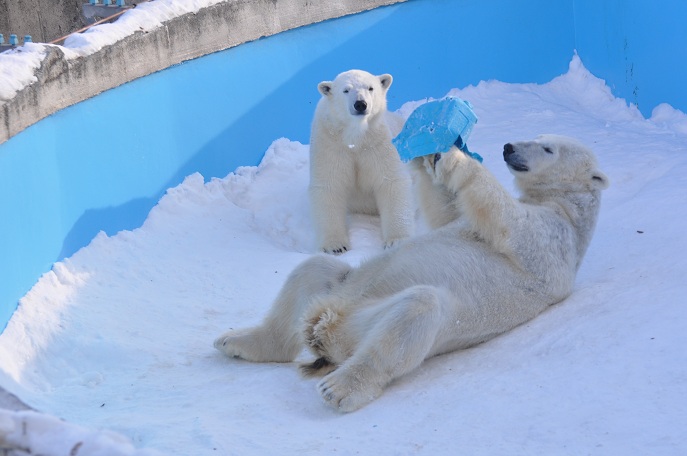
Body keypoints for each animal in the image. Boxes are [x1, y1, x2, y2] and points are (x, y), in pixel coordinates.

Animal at [218, 134, 612, 412]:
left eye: (547, 147)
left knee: (418, 308)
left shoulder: (553, 240)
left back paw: (340, 387)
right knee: (314, 270)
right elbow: (447, 213)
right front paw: (431, 158)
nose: (509, 147)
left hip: (361, 325)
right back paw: (237, 341)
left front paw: (455, 158)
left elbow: (508, 222)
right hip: (344, 288)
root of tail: (325, 324)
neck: (566, 206)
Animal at [310, 69, 412, 253]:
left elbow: (391, 181)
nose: (360, 104)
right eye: (346, 90)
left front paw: (397, 240)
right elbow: (329, 185)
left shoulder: (378, 141)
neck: (355, 137)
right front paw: (335, 246)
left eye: (370, 88)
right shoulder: (329, 142)